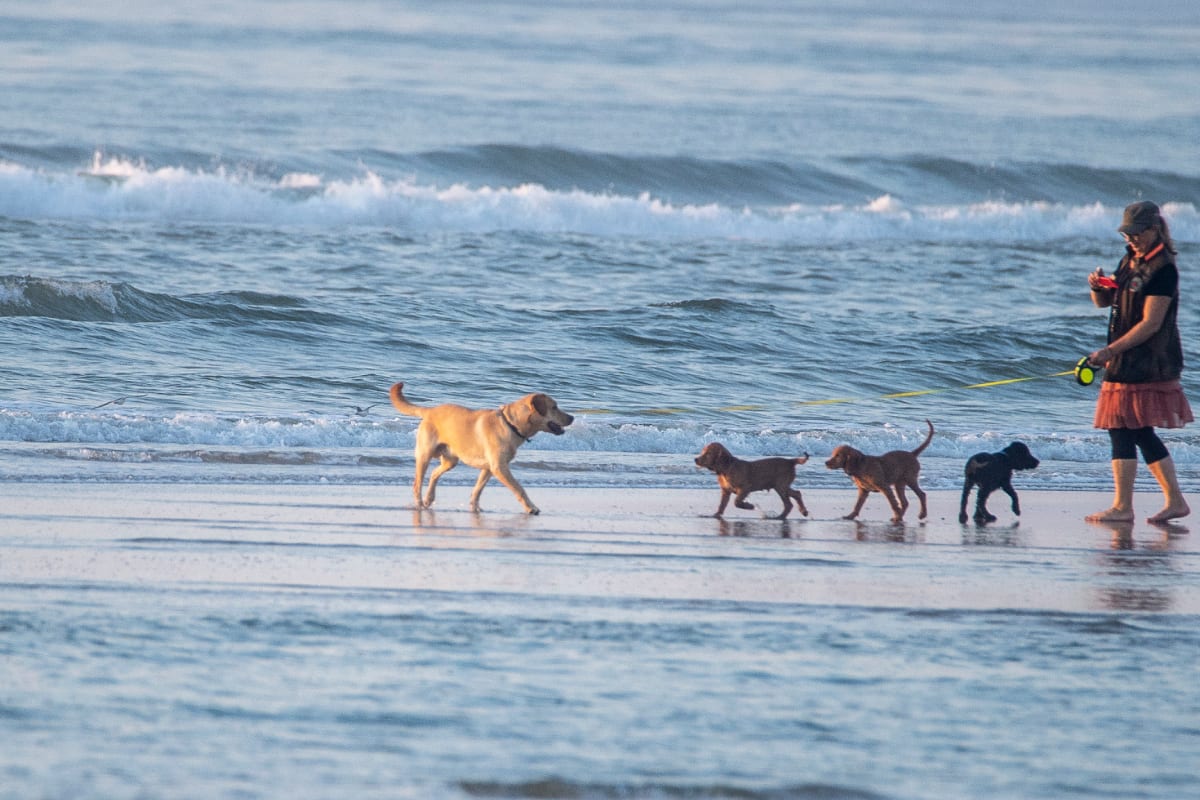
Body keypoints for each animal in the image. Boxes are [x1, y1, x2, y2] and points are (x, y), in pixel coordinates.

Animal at [384, 383, 571, 515]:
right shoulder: (499, 467)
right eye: (554, 407)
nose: (572, 417)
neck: (511, 425)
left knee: (434, 474)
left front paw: (475, 510)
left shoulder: (488, 469)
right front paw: (531, 507)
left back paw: (429, 499)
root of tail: (430, 410)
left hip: (451, 460)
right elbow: (519, 488)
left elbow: (477, 490)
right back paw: (420, 504)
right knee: (417, 483)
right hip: (424, 455)